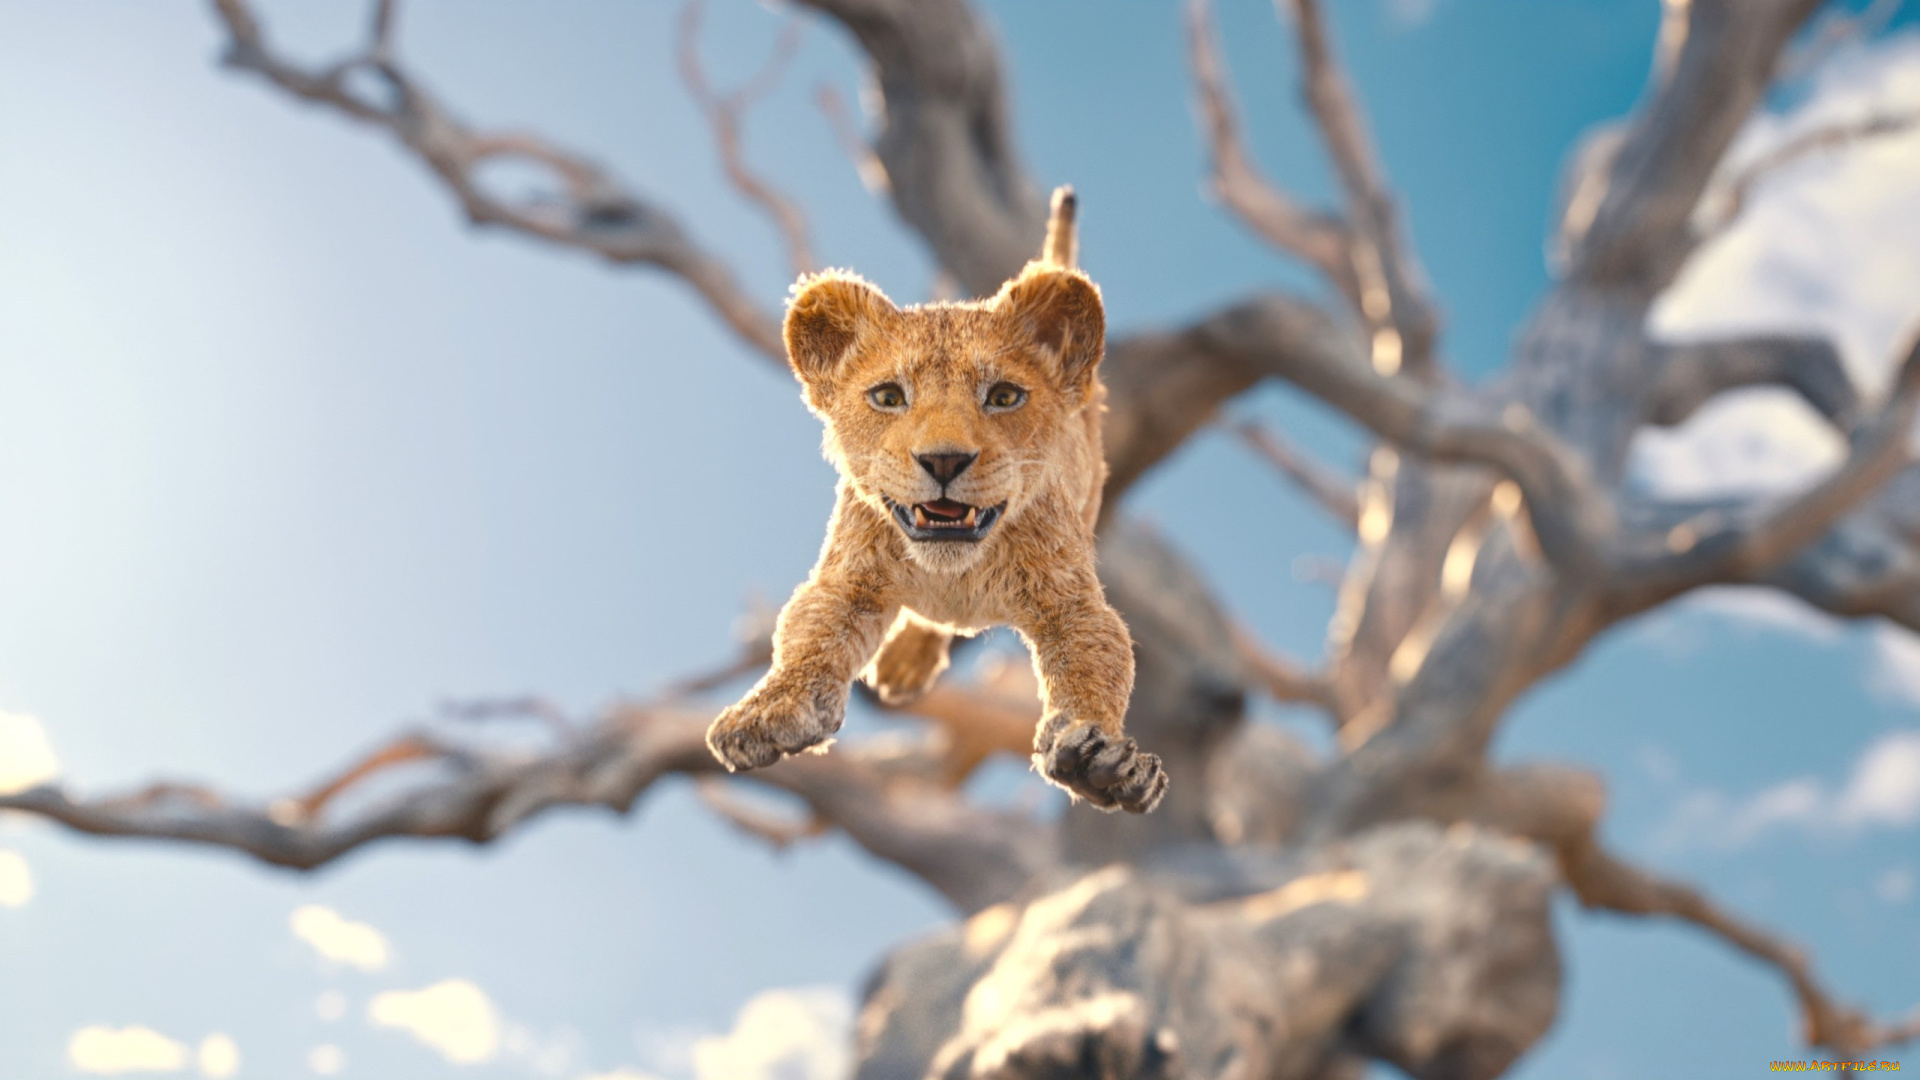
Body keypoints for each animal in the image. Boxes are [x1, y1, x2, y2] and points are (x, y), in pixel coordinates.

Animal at [705, 188, 1166, 814]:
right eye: (888, 397)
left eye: (1004, 396)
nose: (944, 461)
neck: (955, 573)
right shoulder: (848, 579)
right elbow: (808, 637)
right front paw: (767, 712)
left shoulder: (1070, 600)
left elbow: (1097, 662)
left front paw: (1098, 761)